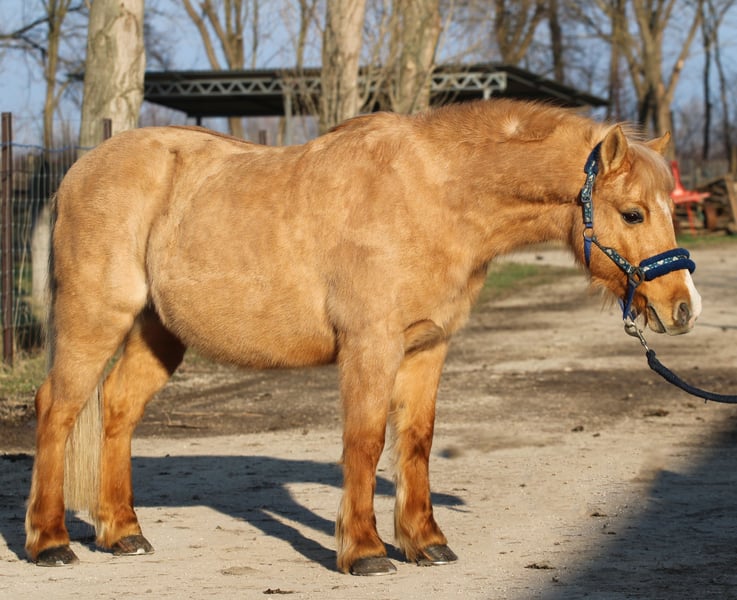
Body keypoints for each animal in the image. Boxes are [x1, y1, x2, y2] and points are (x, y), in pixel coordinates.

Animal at [25, 98, 701, 575]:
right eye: (634, 212)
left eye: (673, 207)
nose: (684, 308)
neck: (435, 195)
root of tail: (77, 171)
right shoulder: (370, 345)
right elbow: (366, 441)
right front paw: (366, 550)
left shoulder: (427, 347)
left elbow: (416, 441)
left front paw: (426, 542)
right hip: (94, 318)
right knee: (58, 409)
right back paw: (51, 541)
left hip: (158, 331)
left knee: (117, 408)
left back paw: (123, 534)